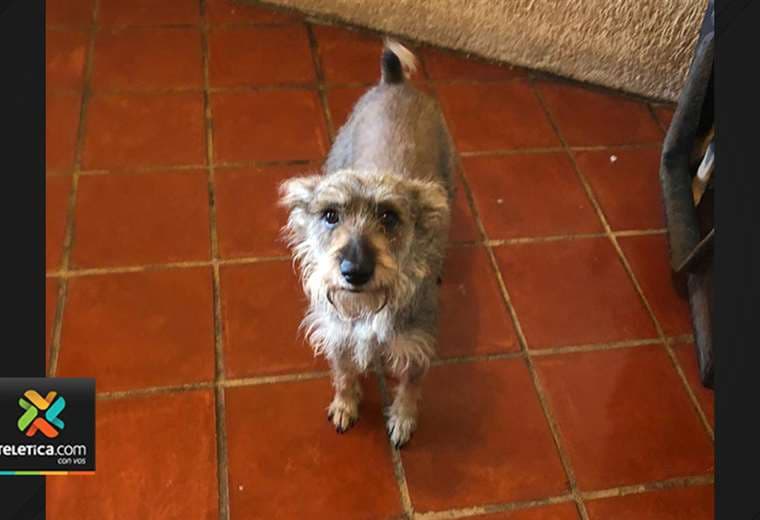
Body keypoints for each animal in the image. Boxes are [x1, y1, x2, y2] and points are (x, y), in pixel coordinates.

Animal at [279, 39, 455, 447]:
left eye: (389, 216)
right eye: (331, 215)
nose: (355, 271)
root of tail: (394, 82)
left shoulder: (415, 344)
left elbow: (410, 386)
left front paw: (404, 419)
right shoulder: (337, 335)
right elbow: (344, 373)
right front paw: (345, 405)